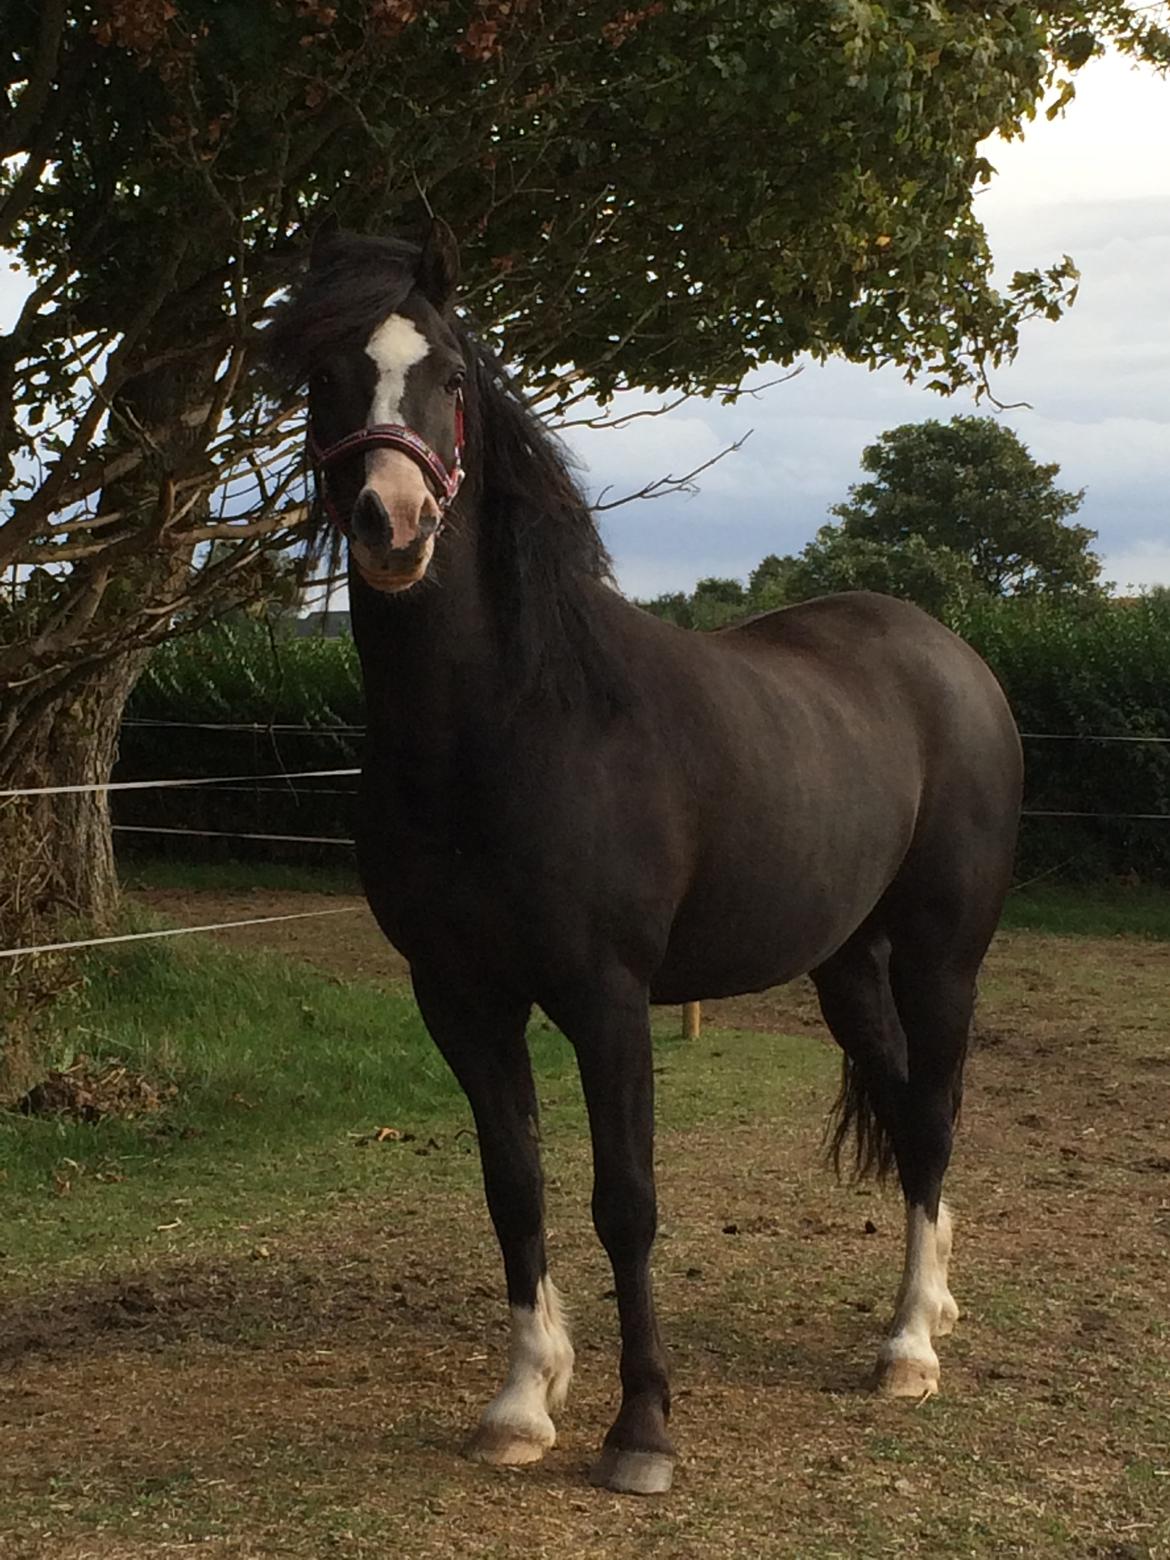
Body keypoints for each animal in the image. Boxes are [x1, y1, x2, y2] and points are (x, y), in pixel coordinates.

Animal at [268, 221, 1023, 1496]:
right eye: (328, 374)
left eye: (452, 378)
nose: (393, 523)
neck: (513, 724)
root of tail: (953, 659)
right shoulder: (459, 999)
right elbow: (512, 1189)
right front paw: (523, 1404)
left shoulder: (607, 998)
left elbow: (626, 1200)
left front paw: (642, 1430)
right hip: (846, 965)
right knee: (905, 1103)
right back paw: (935, 1307)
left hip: (942, 958)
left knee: (932, 1119)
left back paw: (909, 1348)